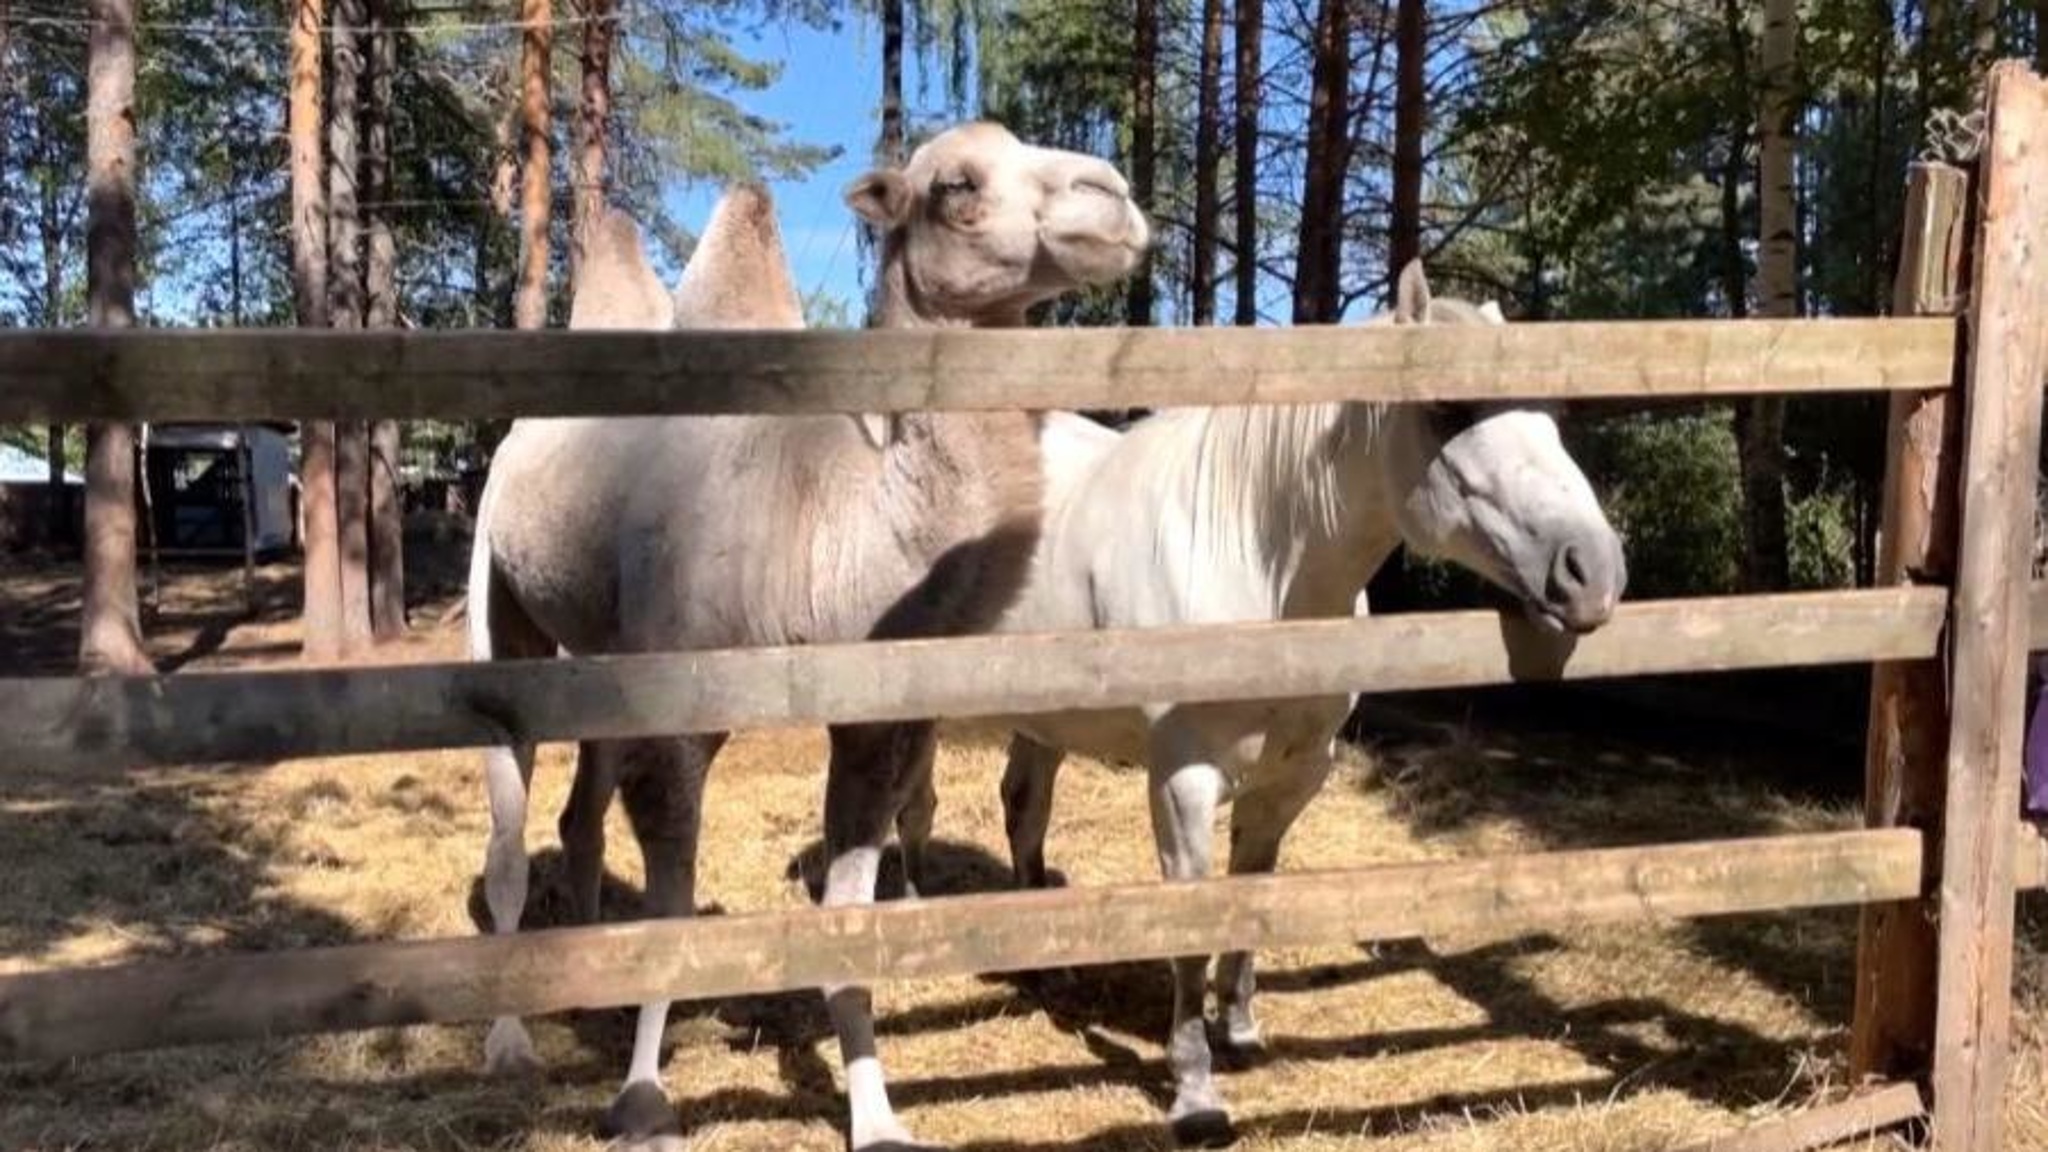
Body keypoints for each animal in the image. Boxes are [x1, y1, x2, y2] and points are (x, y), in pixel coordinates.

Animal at [467, 122, 1149, 1151]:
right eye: (956, 185)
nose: (1113, 197)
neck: (822, 528)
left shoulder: (872, 729)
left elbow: (848, 916)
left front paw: (878, 1119)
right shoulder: (682, 715)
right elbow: (674, 907)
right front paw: (644, 1099)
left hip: (606, 659)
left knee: (580, 814)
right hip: (502, 603)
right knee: (511, 823)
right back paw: (512, 1039)